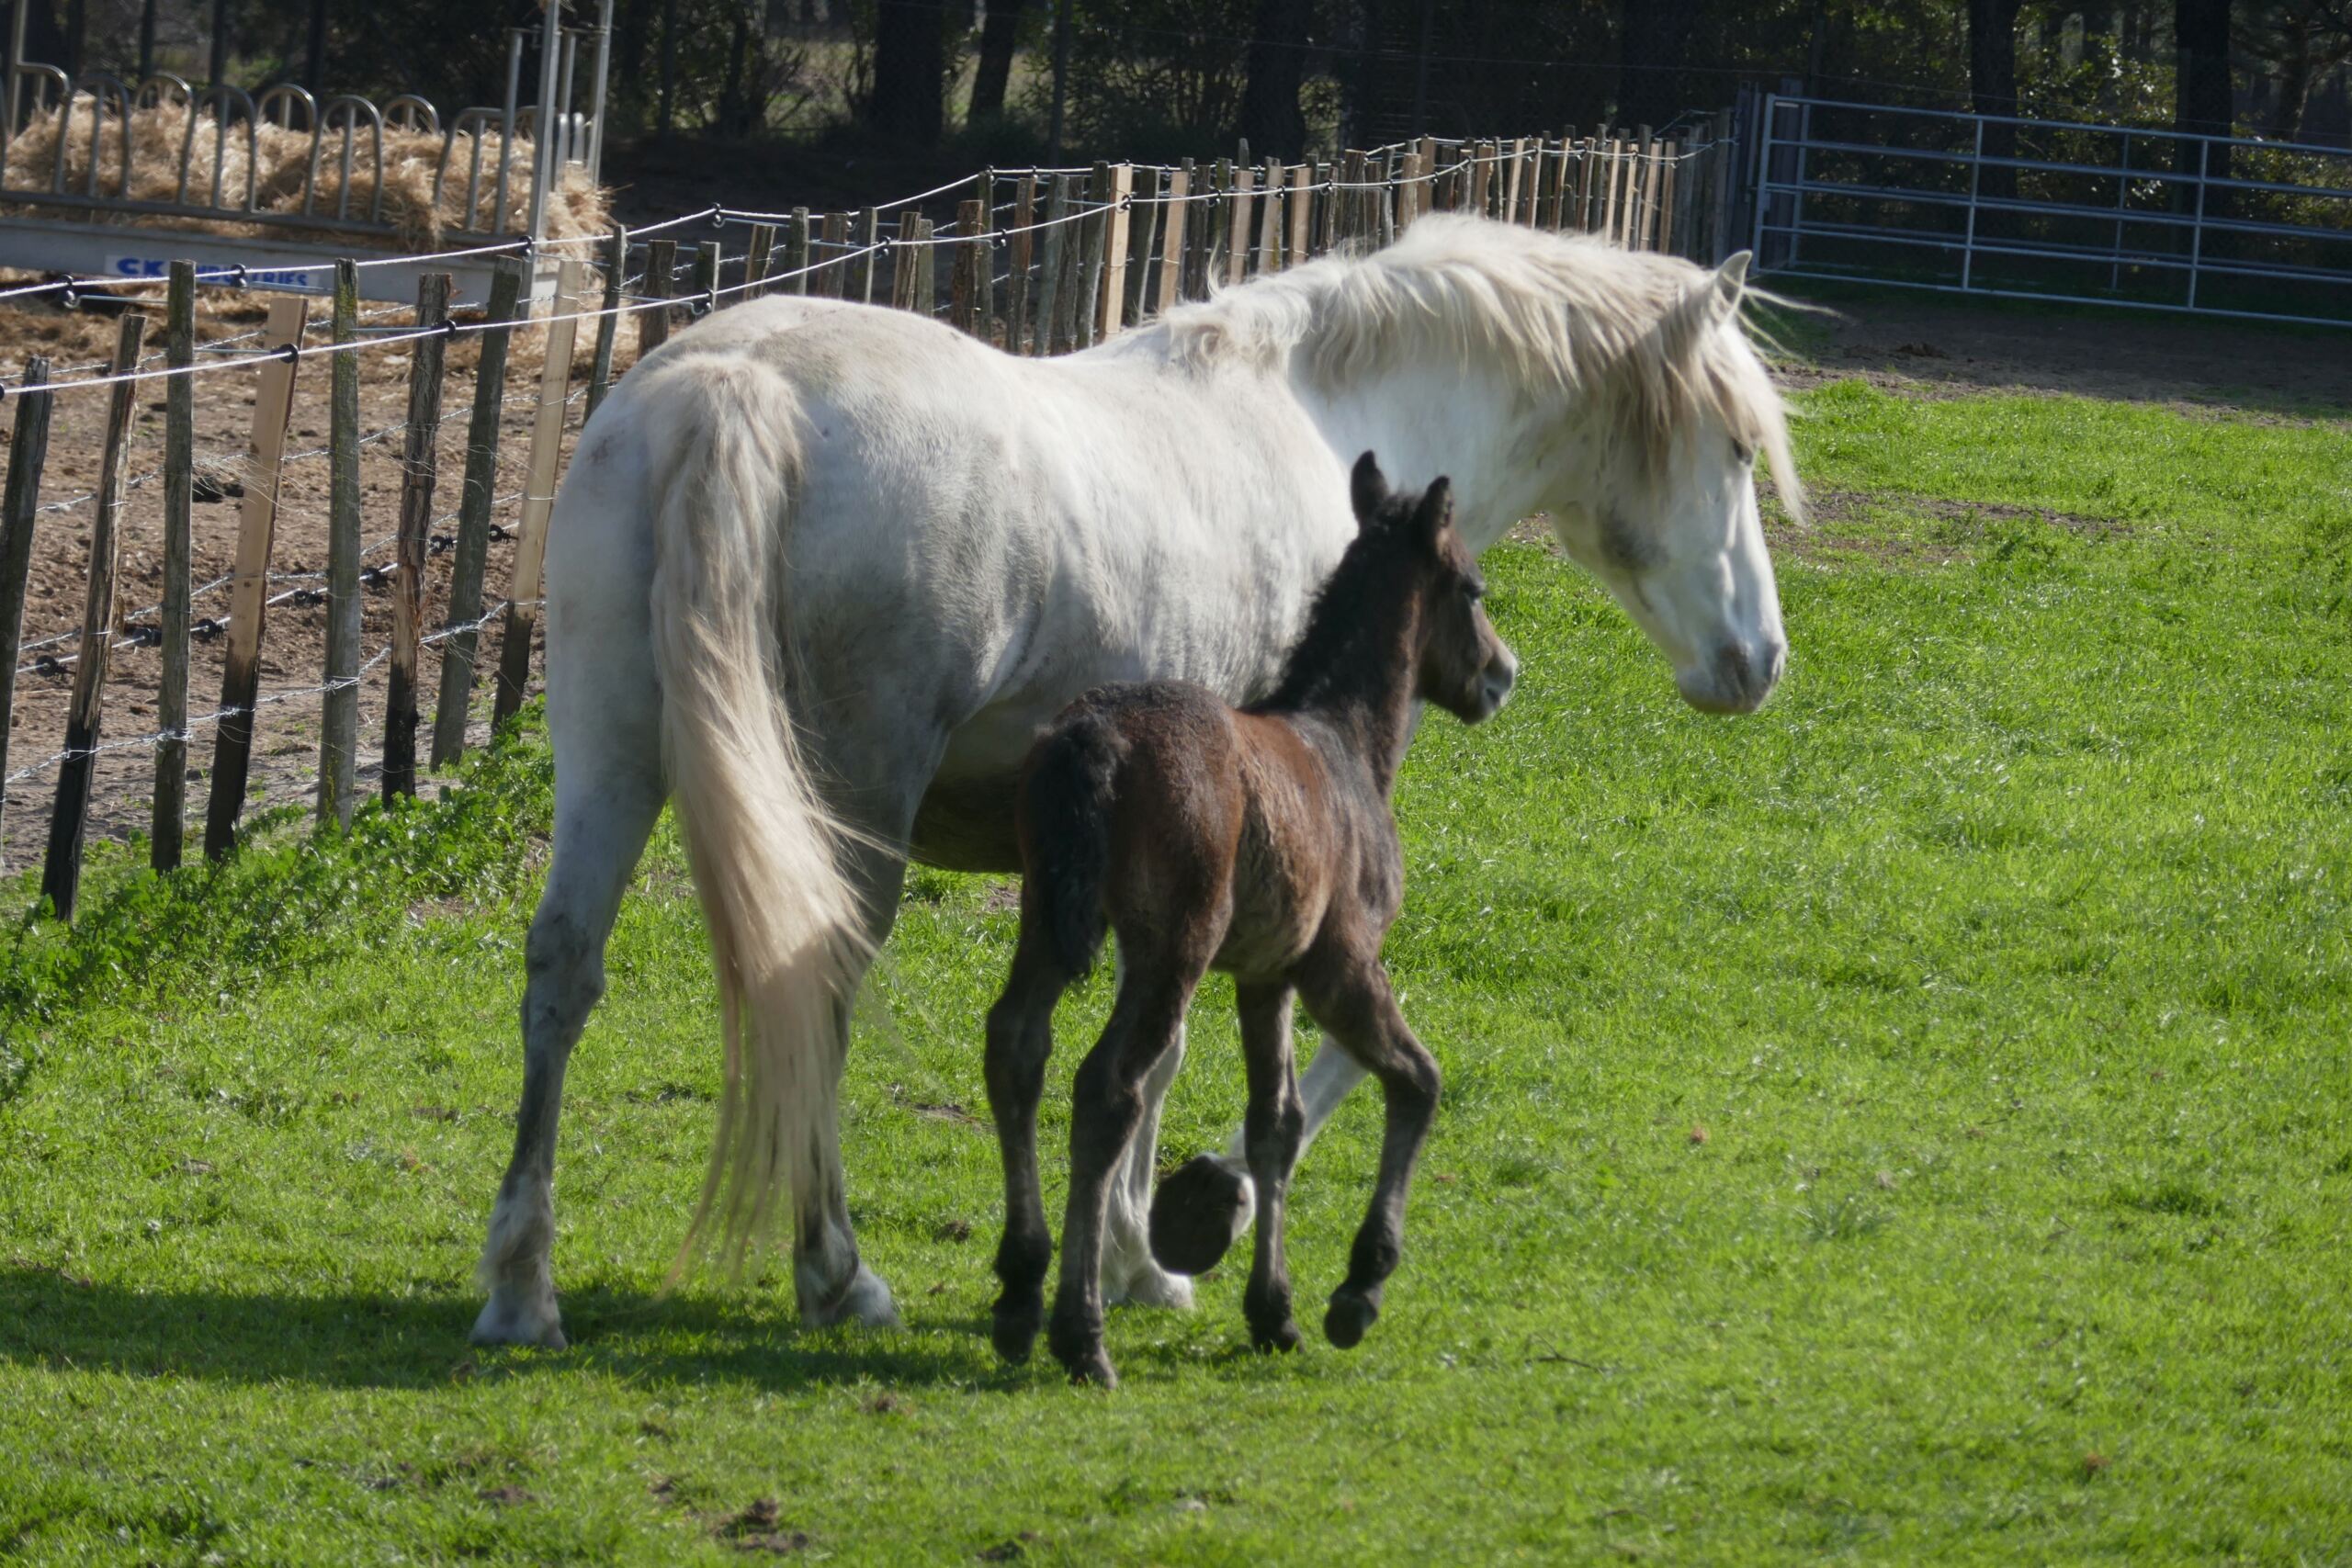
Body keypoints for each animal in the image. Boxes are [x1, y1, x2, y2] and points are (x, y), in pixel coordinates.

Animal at [978, 453, 1514, 1382]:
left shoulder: (1267, 976)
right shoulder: (1341, 964)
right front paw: (1357, 1289)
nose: (1500, 674)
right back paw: (1082, 1333)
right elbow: (1418, 1078)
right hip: (1174, 945)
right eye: (1472, 588)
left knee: (1016, 1043)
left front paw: (1274, 1311)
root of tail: (1092, 739)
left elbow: (1277, 1124)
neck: (1345, 743)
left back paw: (1019, 1291)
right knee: (1107, 1088)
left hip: (1048, 917)